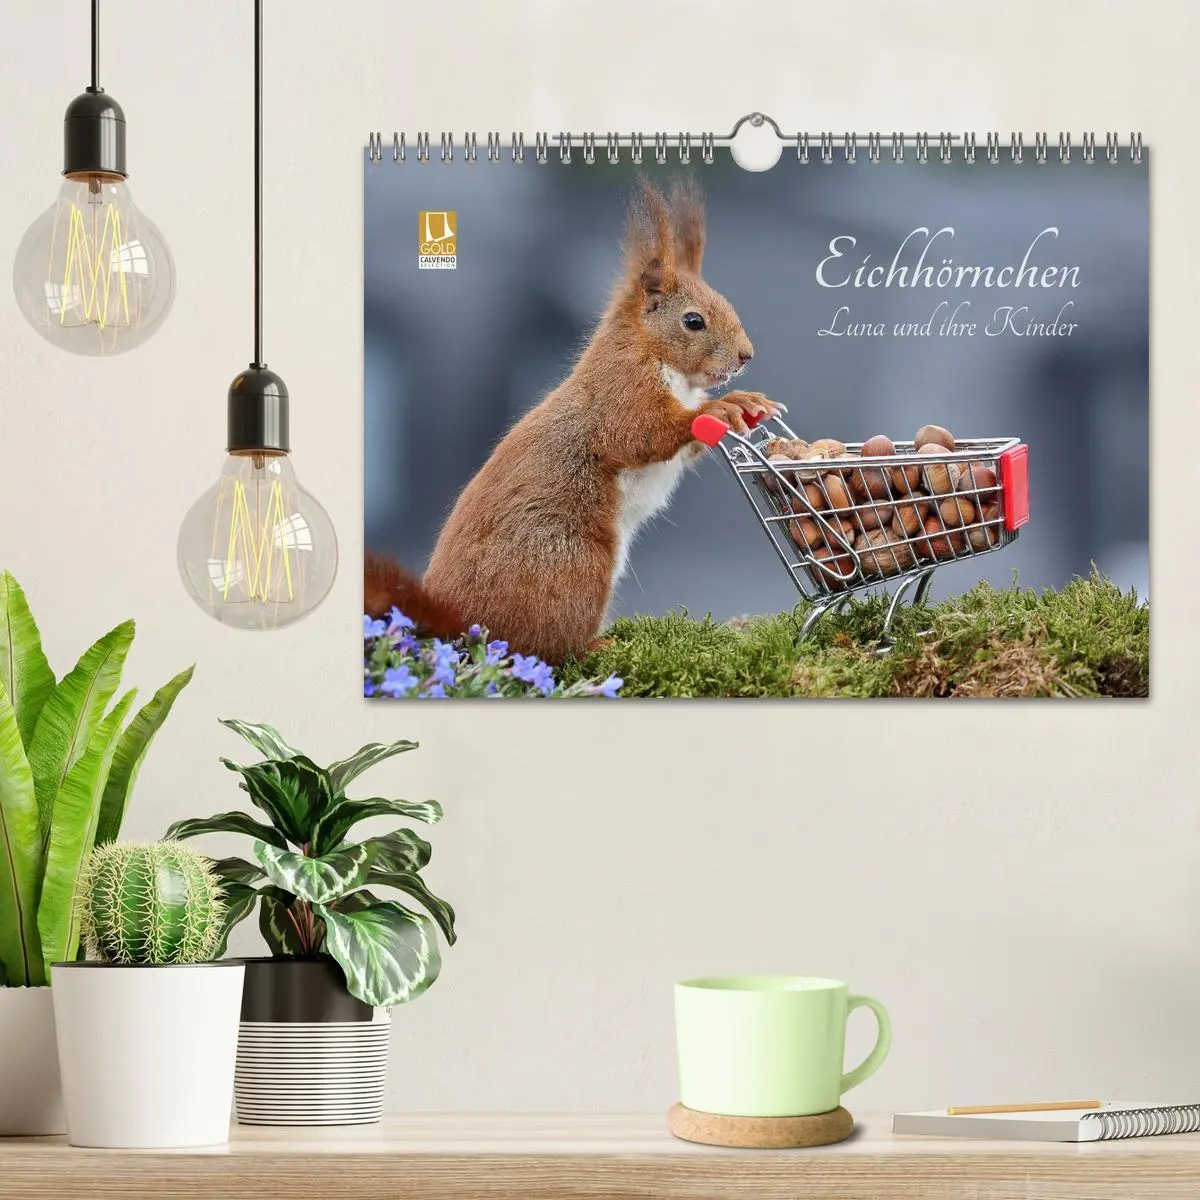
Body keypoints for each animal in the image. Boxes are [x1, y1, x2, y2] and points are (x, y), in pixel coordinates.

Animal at [365, 176, 781, 663]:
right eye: (693, 321)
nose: (746, 356)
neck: (661, 361)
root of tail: (456, 622)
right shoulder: (621, 390)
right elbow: (640, 433)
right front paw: (720, 408)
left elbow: (688, 446)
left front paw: (746, 402)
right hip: (571, 564)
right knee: (546, 648)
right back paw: (596, 644)